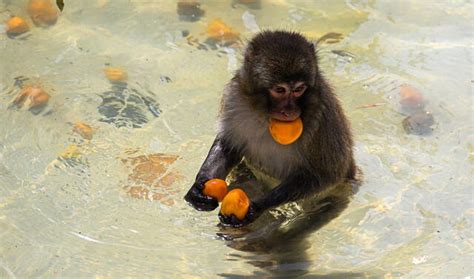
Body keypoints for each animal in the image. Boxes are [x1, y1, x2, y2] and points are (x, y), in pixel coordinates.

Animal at [185, 30, 356, 228]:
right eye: (280, 90)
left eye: (299, 89)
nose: (289, 111)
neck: (265, 114)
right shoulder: (234, 96)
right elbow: (229, 146)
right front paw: (199, 186)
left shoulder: (321, 114)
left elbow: (325, 174)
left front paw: (257, 206)